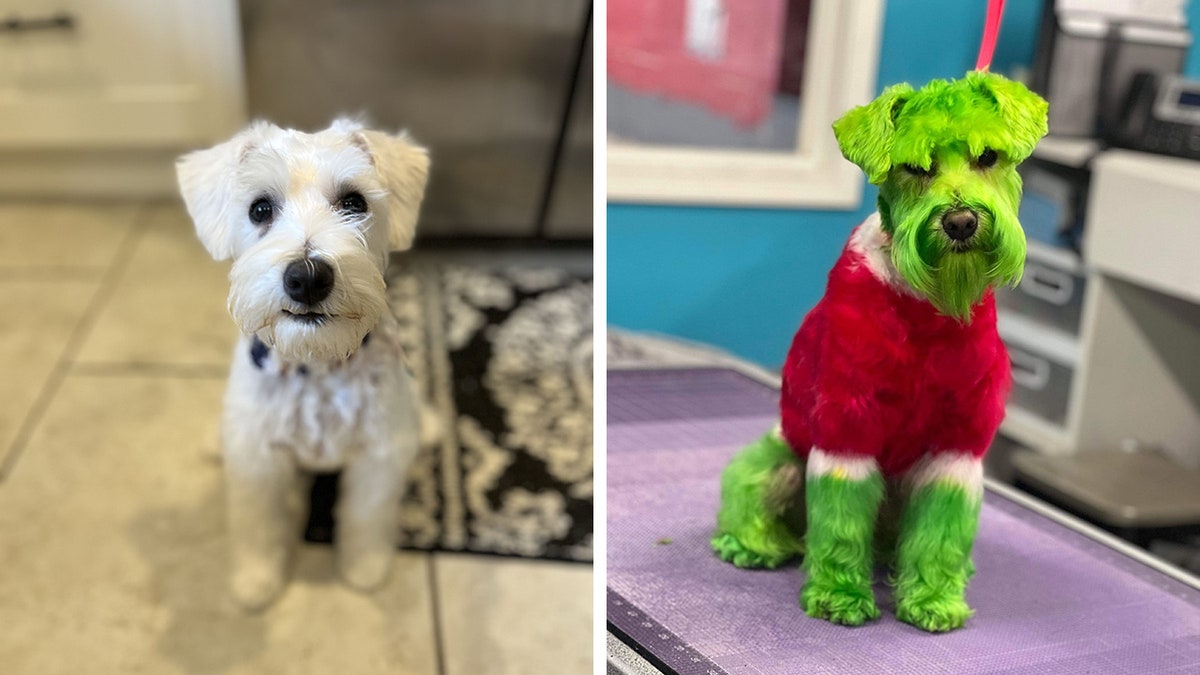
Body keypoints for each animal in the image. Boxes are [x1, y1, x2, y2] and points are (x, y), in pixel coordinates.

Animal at [174, 118, 427, 607]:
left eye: (354, 202)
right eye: (259, 209)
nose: (307, 277)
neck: (318, 365)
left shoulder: (379, 455)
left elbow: (367, 517)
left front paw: (364, 569)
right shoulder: (257, 460)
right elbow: (257, 523)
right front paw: (256, 581)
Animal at [715, 73, 1046, 629]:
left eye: (988, 156)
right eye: (915, 167)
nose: (961, 221)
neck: (927, 313)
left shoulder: (955, 450)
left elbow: (940, 534)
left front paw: (934, 599)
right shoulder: (848, 434)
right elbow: (840, 525)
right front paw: (839, 595)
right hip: (780, 462)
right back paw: (754, 544)